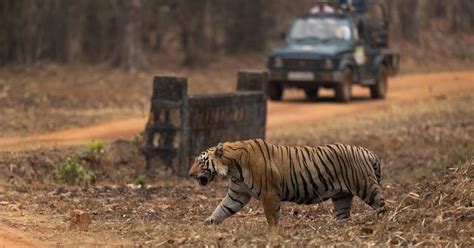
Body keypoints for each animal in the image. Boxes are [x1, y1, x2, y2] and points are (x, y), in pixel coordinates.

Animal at [187, 139, 386, 226]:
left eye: (200, 162)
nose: (189, 174)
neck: (232, 168)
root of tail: (367, 151)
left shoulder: (269, 194)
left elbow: (272, 217)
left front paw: (273, 234)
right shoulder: (238, 193)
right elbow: (222, 208)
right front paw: (208, 223)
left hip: (366, 186)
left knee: (382, 206)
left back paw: (385, 223)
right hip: (341, 197)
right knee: (344, 215)